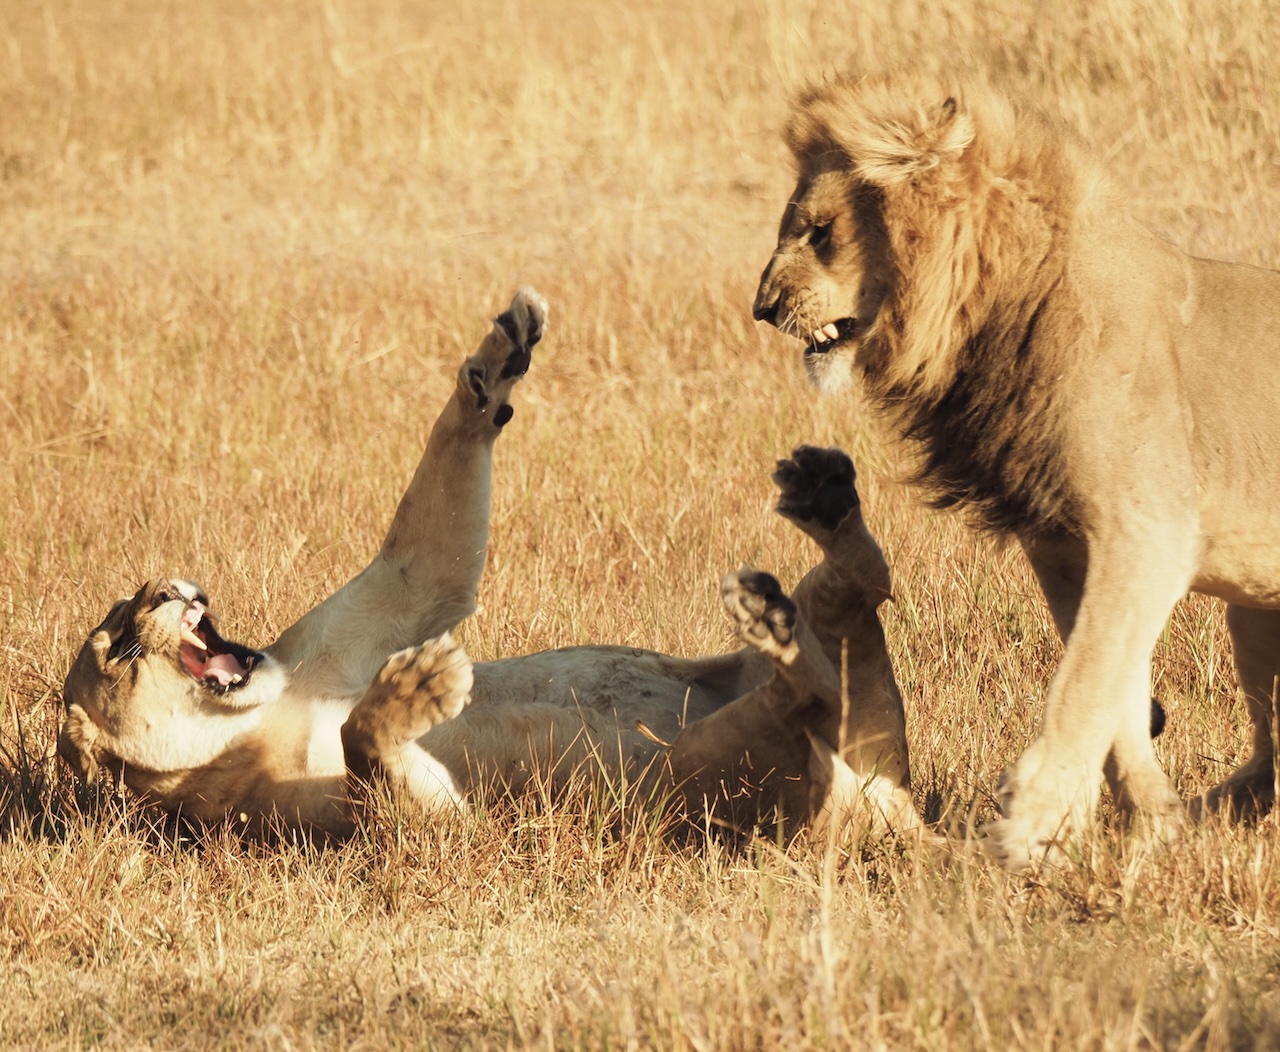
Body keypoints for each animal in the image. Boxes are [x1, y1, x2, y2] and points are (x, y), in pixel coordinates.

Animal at [62, 290, 921, 849]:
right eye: (118, 643)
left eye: (129, 606)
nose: (167, 587)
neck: (259, 713)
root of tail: (896, 803)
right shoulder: (381, 828)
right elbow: (368, 754)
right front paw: (414, 687)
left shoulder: (387, 597)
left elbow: (434, 508)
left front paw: (499, 356)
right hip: (696, 783)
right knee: (808, 696)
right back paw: (773, 617)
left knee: (859, 591)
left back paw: (822, 502)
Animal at [752, 67, 1280, 875]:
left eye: (819, 232)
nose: (762, 307)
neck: (1002, 307)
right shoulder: (1062, 542)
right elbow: (1115, 689)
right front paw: (1151, 823)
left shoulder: (1147, 531)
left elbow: (1085, 682)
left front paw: (1032, 824)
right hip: (1252, 620)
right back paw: (1205, 819)